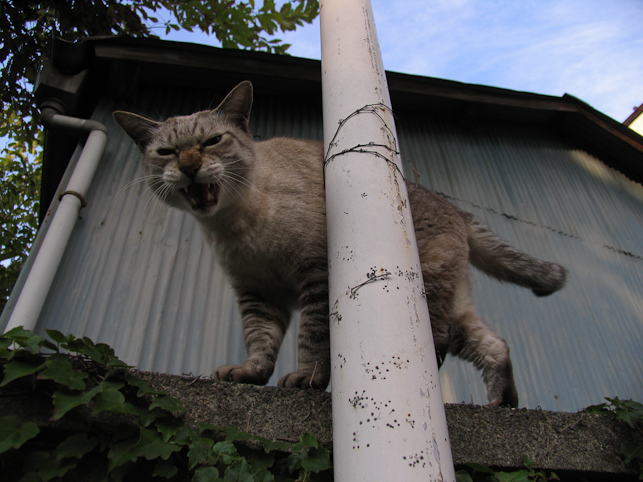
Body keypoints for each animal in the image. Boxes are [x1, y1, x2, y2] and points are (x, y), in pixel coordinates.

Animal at [113, 80, 568, 406]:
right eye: (166, 152)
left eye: (211, 142)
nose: (190, 167)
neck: (238, 226)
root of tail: (454, 208)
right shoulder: (259, 295)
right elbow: (260, 342)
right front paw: (250, 375)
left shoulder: (316, 276)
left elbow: (312, 341)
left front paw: (306, 381)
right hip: (456, 308)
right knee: (495, 345)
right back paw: (501, 404)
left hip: (420, 293)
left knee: (439, 338)